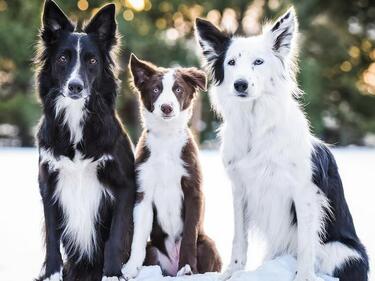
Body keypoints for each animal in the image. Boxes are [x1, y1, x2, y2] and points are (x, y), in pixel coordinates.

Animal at [35, 1, 137, 278]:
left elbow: (115, 237)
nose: (75, 86)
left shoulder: (125, 185)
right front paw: (51, 274)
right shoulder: (48, 183)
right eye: (62, 58)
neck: (76, 117)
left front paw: (113, 274)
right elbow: (51, 237)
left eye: (92, 60)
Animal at [122, 54, 223, 278]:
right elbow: (138, 237)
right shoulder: (143, 194)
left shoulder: (194, 191)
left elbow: (189, 235)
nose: (166, 108)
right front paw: (131, 268)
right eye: (155, 90)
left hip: (208, 244)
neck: (166, 139)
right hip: (154, 251)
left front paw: (187, 268)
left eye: (178, 89)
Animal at [197, 6, 370, 280]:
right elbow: (239, 238)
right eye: (231, 62)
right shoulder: (240, 190)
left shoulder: (305, 192)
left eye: (258, 62)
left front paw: (303, 277)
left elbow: (306, 244)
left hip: (342, 253)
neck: (256, 127)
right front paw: (231, 272)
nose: (240, 84)